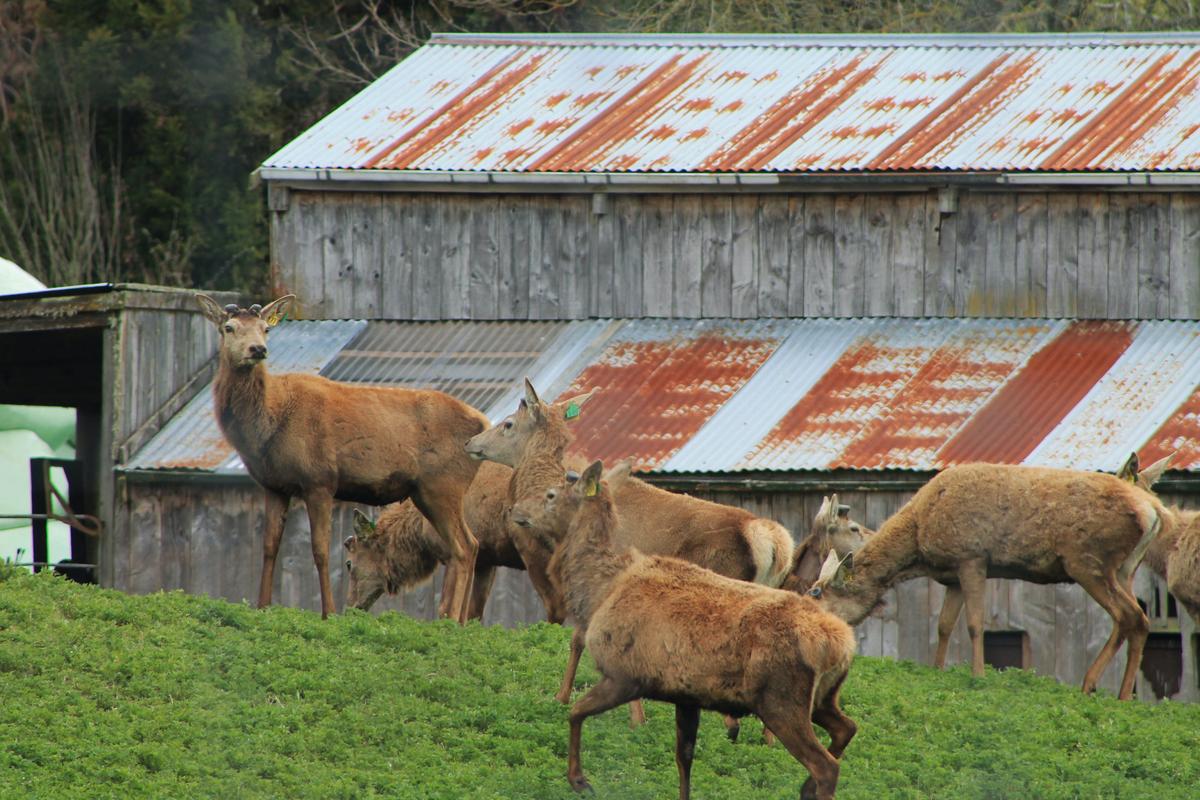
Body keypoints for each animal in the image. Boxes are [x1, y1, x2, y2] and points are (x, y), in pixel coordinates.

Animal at [195, 294, 488, 623]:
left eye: (265, 329)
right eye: (229, 327)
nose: (257, 349)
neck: (268, 424)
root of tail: (483, 423)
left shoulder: (319, 479)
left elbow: (320, 549)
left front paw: (328, 613)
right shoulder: (274, 485)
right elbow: (269, 546)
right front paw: (262, 607)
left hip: (443, 485)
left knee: (464, 546)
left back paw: (450, 621)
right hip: (427, 491)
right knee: (470, 545)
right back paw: (458, 622)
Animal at [527, 460, 857, 800]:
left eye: (551, 495)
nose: (519, 513)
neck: (601, 589)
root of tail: (842, 644)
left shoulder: (625, 676)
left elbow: (575, 711)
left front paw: (579, 779)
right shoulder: (685, 695)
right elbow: (683, 759)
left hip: (781, 699)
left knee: (826, 765)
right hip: (821, 698)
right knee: (846, 728)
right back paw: (805, 786)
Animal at [807, 463, 1166, 700]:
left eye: (818, 594)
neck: (919, 542)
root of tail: (1153, 511)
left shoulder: (972, 557)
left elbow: (974, 624)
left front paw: (977, 675)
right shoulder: (952, 575)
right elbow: (944, 625)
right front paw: (937, 670)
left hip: (1087, 561)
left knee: (1130, 616)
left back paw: (1099, 687)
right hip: (1125, 569)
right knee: (1136, 619)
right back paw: (1112, 691)